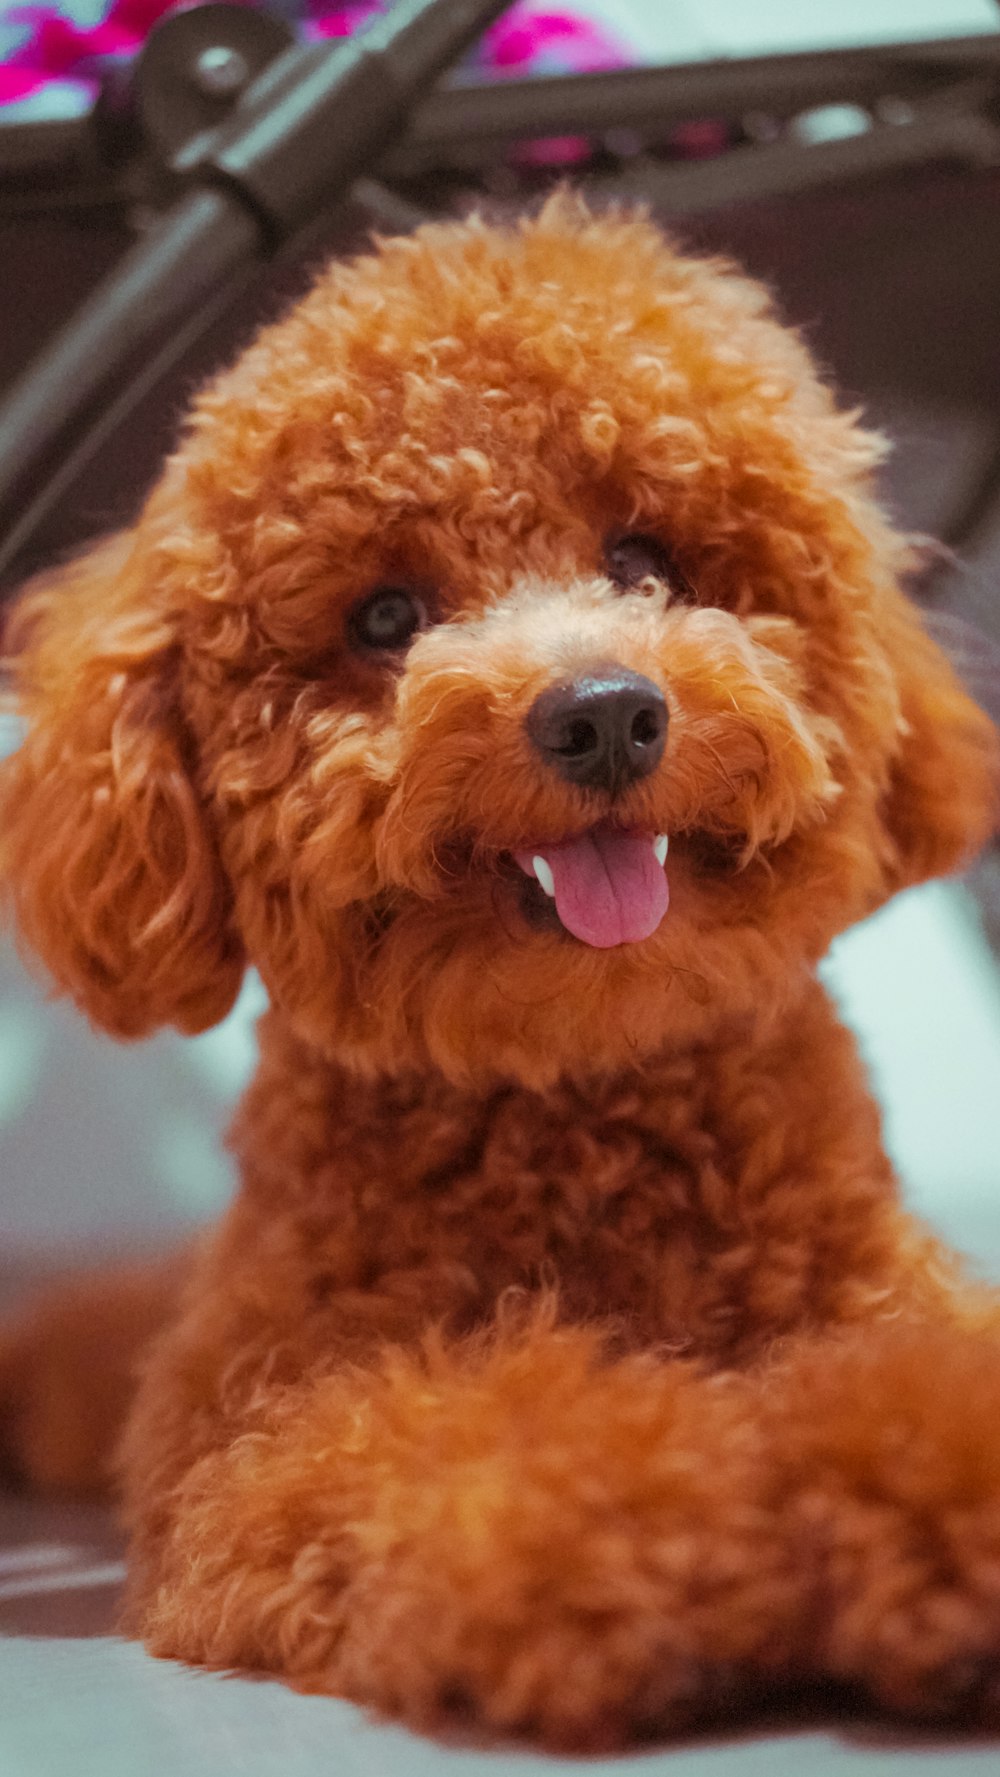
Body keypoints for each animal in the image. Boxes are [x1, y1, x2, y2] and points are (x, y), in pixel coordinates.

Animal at [1, 198, 1000, 1748]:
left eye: (646, 561)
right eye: (385, 616)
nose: (604, 714)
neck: (575, 1100)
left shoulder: (885, 1300)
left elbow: (924, 1388)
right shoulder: (258, 1425)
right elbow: (469, 1435)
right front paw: (653, 1537)